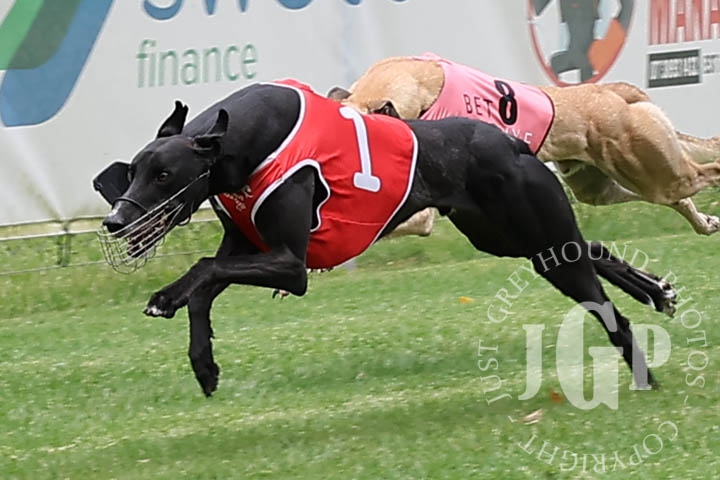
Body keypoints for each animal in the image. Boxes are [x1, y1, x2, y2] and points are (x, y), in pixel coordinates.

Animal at [94, 79, 676, 396]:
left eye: (164, 175)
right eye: (135, 171)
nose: (115, 223)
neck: (242, 141)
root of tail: (510, 140)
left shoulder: (290, 265)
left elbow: (201, 271)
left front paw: (164, 297)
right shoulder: (248, 246)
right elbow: (204, 290)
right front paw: (204, 364)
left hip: (539, 242)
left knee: (609, 312)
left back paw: (644, 373)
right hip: (514, 239)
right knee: (588, 248)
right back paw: (652, 288)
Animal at [328, 53, 720, 236]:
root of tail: (614, 92)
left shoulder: (420, 213)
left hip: (653, 170)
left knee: (709, 172)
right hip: (606, 185)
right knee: (675, 197)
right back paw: (706, 223)